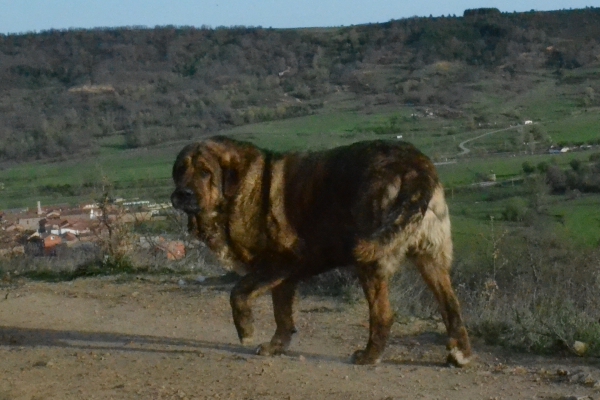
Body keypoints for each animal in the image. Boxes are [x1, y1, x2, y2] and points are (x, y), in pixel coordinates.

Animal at [171, 137, 472, 366]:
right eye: (180, 170)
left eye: (205, 172)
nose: (182, 194)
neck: (238, 189)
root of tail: (416, 163)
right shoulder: (283, 276)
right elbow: (282, 313)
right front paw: (277, 346)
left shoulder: (280, 261)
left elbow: (239, 292)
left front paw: (245, 330)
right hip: (431, 259)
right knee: (451, 307)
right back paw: (460, 354)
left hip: (370, 261)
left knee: (383, 315)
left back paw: (369, 356)